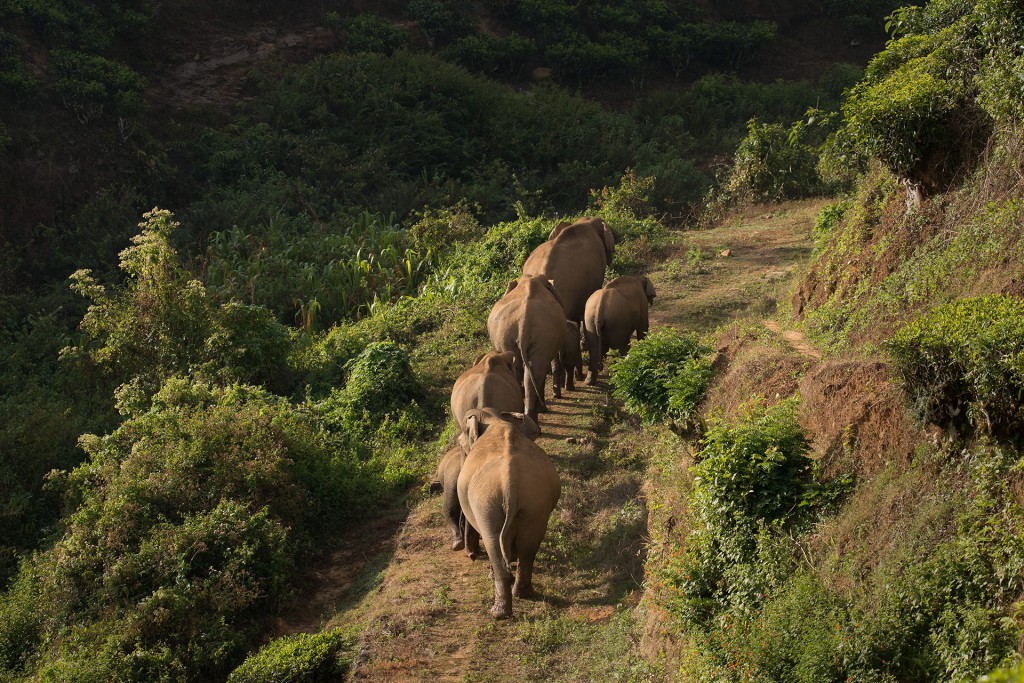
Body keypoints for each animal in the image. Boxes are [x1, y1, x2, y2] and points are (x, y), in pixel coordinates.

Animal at [460, 409, 565, 622]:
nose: (472, 555)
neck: (495, 418)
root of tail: (511, 482)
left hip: (485, 504)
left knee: (492, 541)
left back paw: (498, 612)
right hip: (535, 503)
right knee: (528, 546)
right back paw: (523, 594)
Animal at [487, 274, 569, 417]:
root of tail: (524, 320)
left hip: (510, 335)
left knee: (525, 371)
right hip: (537, 335)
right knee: (534, 370)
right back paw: (536, 413)